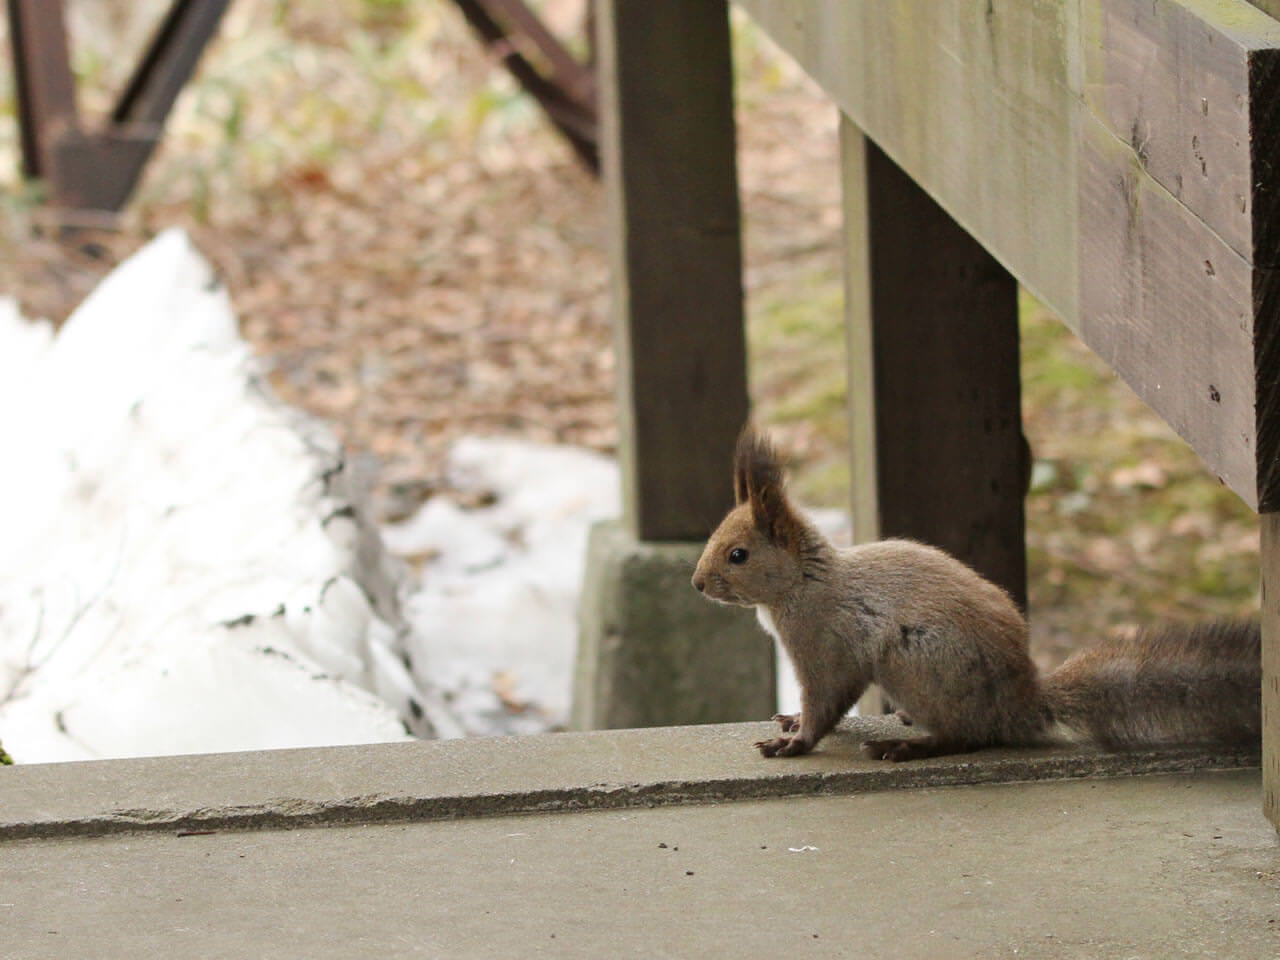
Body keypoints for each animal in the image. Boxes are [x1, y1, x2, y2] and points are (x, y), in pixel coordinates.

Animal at [691, 427, 1259, 757]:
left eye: (738, 555)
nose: (697, 583)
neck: (804, 583)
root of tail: (1023, 703)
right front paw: (790, 719)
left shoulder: (824, 644)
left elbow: (827, 700)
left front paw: (795, 740)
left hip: (916, 664)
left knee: (969, 735)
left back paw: (911, 746)